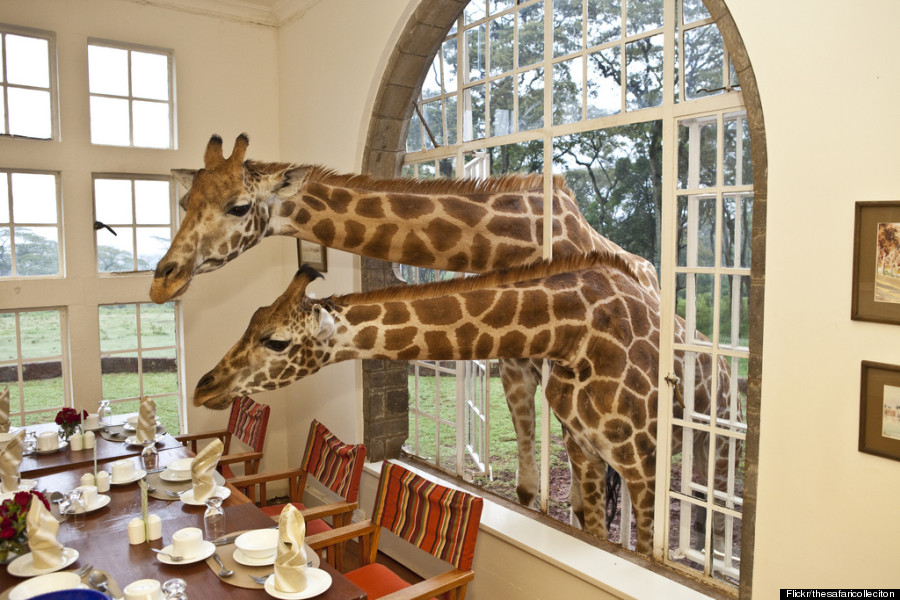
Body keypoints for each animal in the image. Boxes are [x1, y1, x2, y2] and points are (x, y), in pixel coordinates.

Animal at [150, 134, 662, 525]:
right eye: (184, 201)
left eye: (238, 207)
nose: (162, 280)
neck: (513, 243)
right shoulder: (515, 369)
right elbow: (527, 490)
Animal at [191, 253, 726, 556]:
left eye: (276, 341)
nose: (203, 386)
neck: (574, 332)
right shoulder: (585, 450)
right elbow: (592, 528)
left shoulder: (644, 461)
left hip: (712, 442)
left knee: (713, 505)